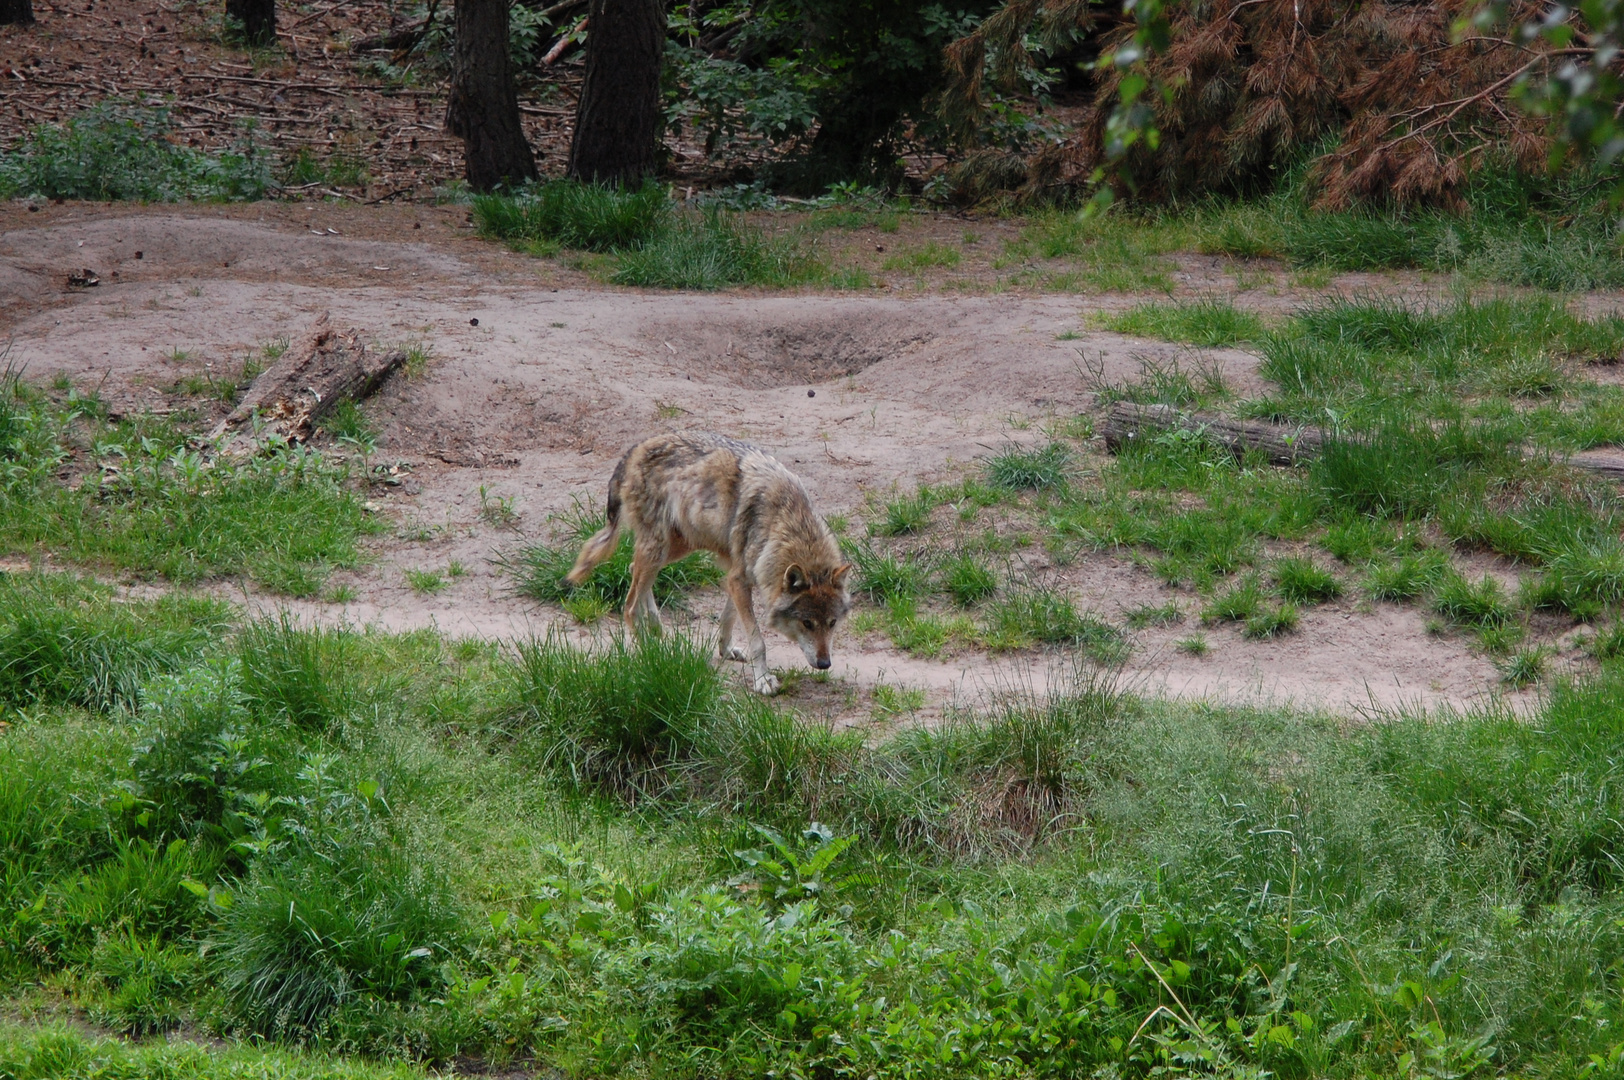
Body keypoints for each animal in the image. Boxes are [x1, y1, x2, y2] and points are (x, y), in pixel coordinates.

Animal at [565, 428, 850, 691]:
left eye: (832, 623)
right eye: (807, 623)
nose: (825, 663)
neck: (785, 523)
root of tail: (635, 448)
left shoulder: (739, 577)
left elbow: (728, 618)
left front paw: (726, 650)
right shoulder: (739, 579)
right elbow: (758, 640)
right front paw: (763, 681)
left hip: (675, 548)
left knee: (634, 569)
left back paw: (656, 630)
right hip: (659, 549)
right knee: (629, 605)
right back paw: (644, 649)